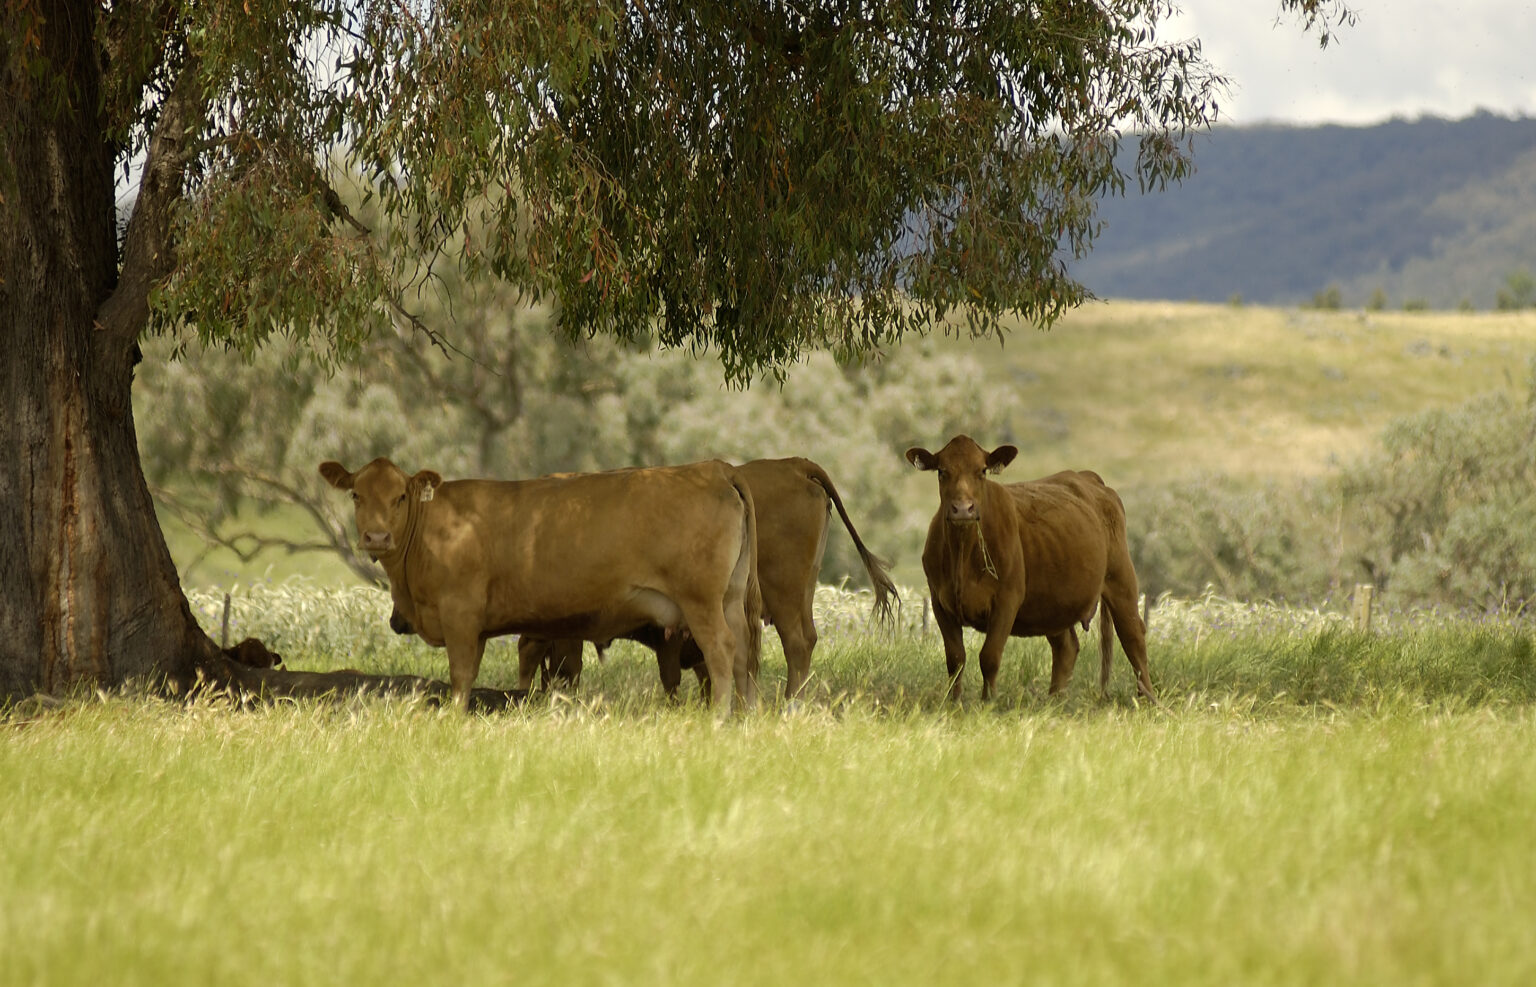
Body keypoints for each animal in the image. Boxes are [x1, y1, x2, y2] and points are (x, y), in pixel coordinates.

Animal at [319, 460, 761, 715]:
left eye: (400, 496)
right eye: (356, 494)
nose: (377, 537)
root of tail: (714, 467)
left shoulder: (460, 614)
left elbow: (460, 675)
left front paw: (455, 719)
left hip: (701, 601)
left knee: (721, 649)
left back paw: (720, 717)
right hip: (730, 598)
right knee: (743, 650)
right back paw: (746, 715)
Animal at [897, 435, 1155, 703]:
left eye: (982, 471)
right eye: (942, 471)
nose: (962, 509)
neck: (963, 555)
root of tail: (1088, 477)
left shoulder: (1007, 599)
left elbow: (989, 656)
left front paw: (988, 703)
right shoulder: (939, 602)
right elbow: (956, 658)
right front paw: (953, 703)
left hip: (1120, 578)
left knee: (1133, 636)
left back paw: (1147, 698)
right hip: (1053, 602)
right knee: (1066, 647)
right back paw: (1055, 700)